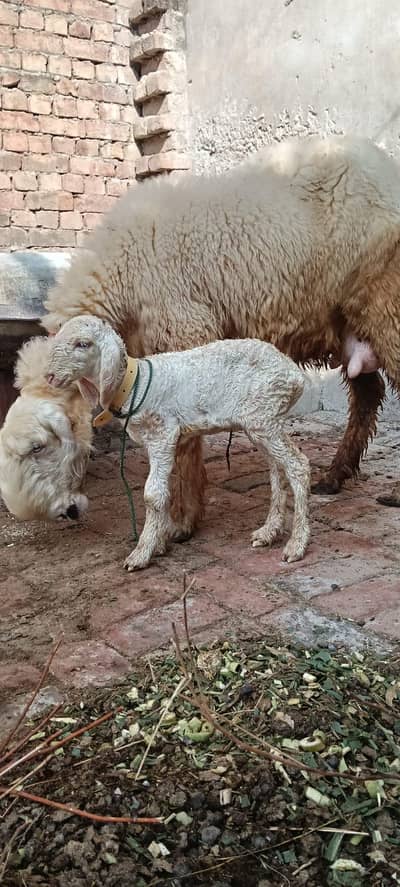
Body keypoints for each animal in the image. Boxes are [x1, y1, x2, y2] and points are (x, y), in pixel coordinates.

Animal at [2, 133, 400, 528]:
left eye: (38, 446)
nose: (50, 513)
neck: (121, 273)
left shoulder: (184, 330)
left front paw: (183, 518)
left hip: (385, 301)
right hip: (347, 322)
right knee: (368, 393)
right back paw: (334, 476)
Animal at [46, 315, 311, 569]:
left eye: (83, 344)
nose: (49, 376)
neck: (134, 385)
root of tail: (294, 374)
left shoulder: (163, 434)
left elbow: (153, 494)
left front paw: (142, 552)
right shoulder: (161, 443)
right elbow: (166, 490)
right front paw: (160, 541)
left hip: (265, 416)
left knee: (298, 466)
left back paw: (296, 544)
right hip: (262, 421)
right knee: (277, 469)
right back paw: (268, 532)